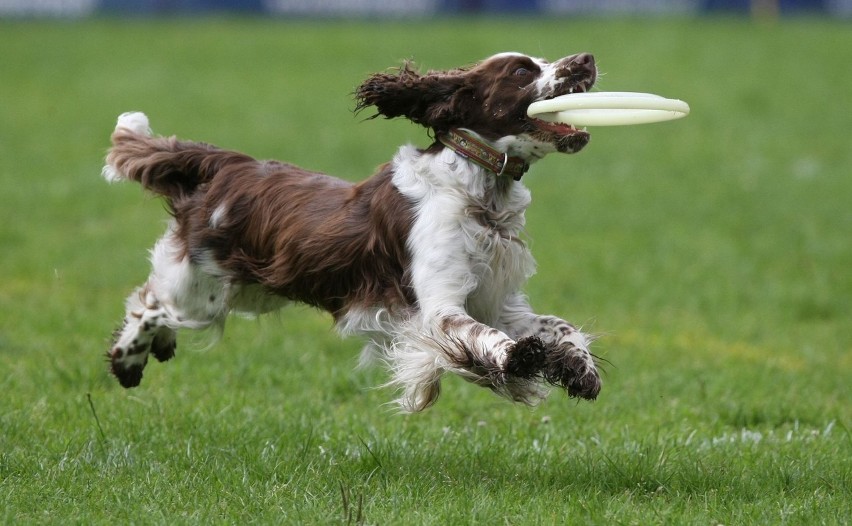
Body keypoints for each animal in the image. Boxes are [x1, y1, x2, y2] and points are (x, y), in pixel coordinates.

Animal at [103, 51, 604, 414]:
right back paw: (128, 358)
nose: (586, 58)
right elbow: (482, 338)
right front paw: (519, 358)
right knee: (149, 304)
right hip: (202, 292)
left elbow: (559, 326)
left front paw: (578, 368)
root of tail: (227, 164)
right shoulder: (440, 307)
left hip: (246, 289)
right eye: (522, 70)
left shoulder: (498, 299)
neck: (477, 192)